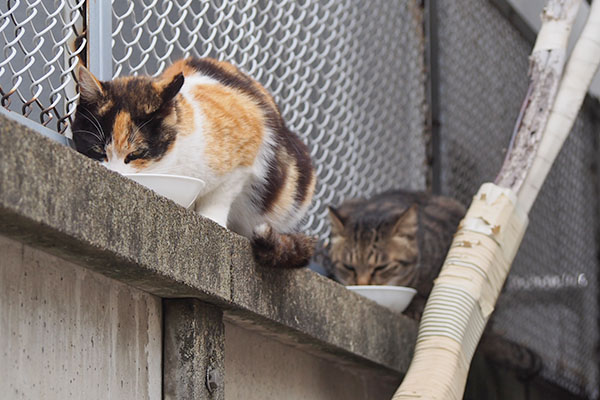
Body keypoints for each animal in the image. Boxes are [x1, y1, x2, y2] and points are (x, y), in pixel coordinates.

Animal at [71, 57, 316, 268]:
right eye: (97, 151)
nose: (117, 174)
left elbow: (221, 195)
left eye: (136, 154)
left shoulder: (246, 152)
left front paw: (213, 220)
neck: (172, 160)